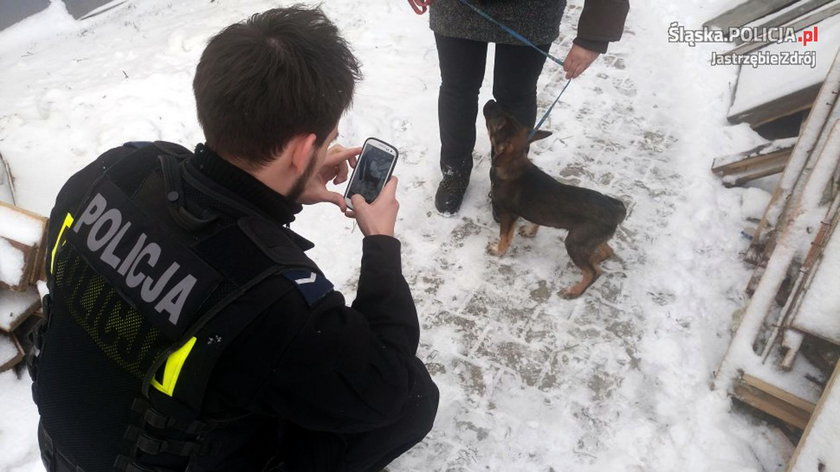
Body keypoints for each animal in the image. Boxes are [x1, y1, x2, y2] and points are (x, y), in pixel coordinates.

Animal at [486, 99, 624, 298]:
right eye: (508, 116)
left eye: (498, 124)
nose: (491, 101)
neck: (513, 164)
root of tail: (616, 209)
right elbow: (534, 222)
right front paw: (530, 231)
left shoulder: (507, 214)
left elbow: (504, 236)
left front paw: (498, 250)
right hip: (588, 239)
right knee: (607, 251)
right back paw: (595, 258)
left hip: (575, 242)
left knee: (593, 272)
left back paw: (574, 290)